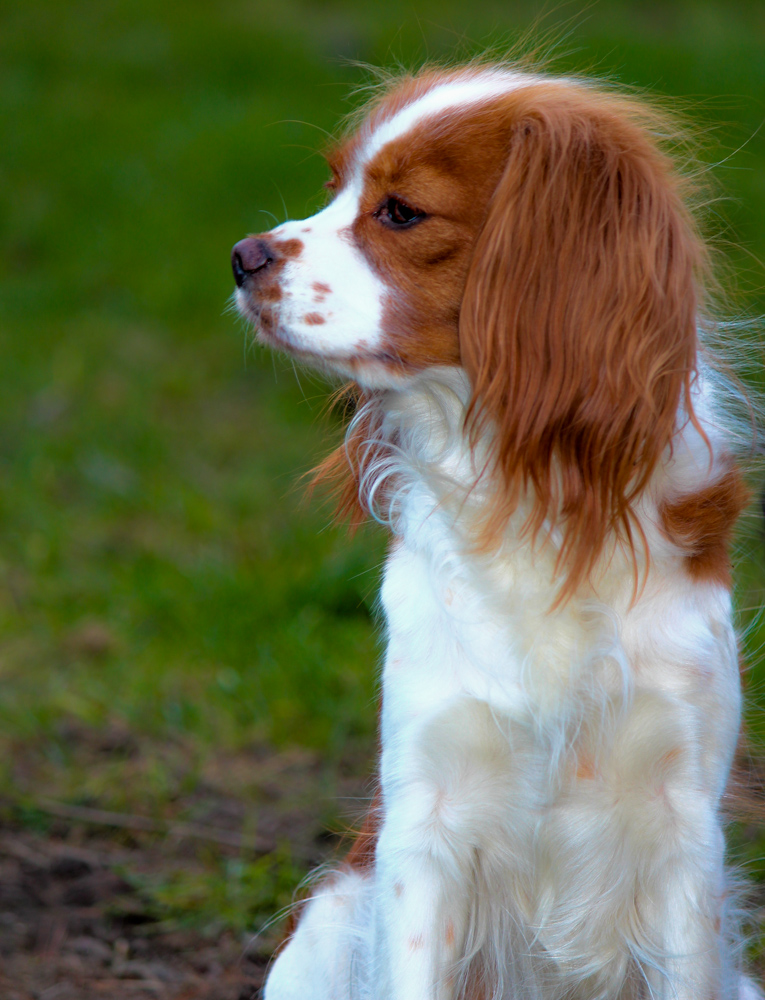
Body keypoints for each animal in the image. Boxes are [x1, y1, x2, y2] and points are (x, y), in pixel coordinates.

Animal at [231, 60, 760, 1000]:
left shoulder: (682, 835)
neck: (530, 499)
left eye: (400, 212)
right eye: (334, 189)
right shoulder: (423, 824)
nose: (242, 255)